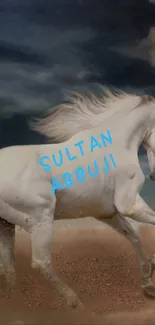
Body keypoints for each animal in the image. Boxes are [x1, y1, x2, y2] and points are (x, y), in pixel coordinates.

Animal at [1, 87, 155, 308]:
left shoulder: (107, 214)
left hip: (5, 224)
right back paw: (74, 302)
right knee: (40, 262)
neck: (117, 144)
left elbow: (134, 236)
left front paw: (148, 284)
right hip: (40, 220)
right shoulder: (129, 204)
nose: (153, 175)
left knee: (8, 267)